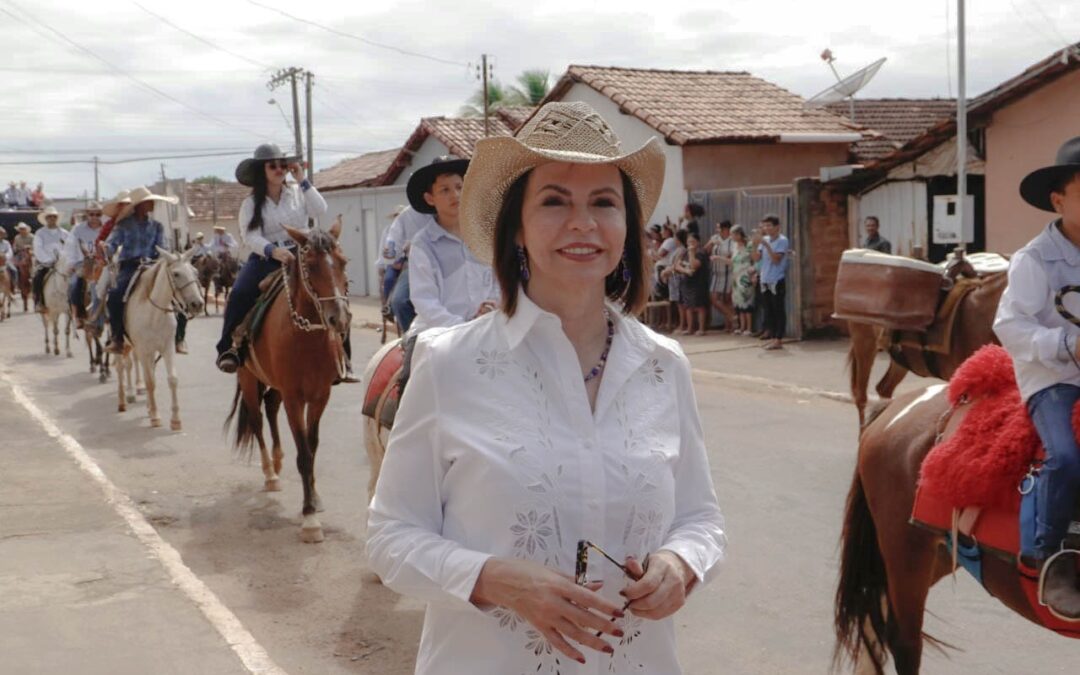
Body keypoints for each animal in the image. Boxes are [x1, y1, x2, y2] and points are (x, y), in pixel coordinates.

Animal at [118, 246, 203, 425]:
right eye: (176, 274)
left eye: (195, 271)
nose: (197, 304)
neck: (154, 314)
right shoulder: (143, 350)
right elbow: (150, 382)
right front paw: (156, 416)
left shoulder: (166, 347)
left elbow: (171, 379)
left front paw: (175, 420)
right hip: (121, 343)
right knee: (122, 366)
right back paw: (124, 399)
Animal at [224, 223, 349, 544]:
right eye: (311, 265)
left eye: (343, 262)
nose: (339, 319)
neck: (305, 335)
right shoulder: (295, 397)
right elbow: (303, 454)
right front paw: (310, 520)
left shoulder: (319, 396)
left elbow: (312, 447)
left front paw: (314, 498)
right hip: (248, 379)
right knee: (257, 420)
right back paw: (270, 473)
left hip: (277, 387)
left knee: (270, 406)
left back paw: (278, 461)